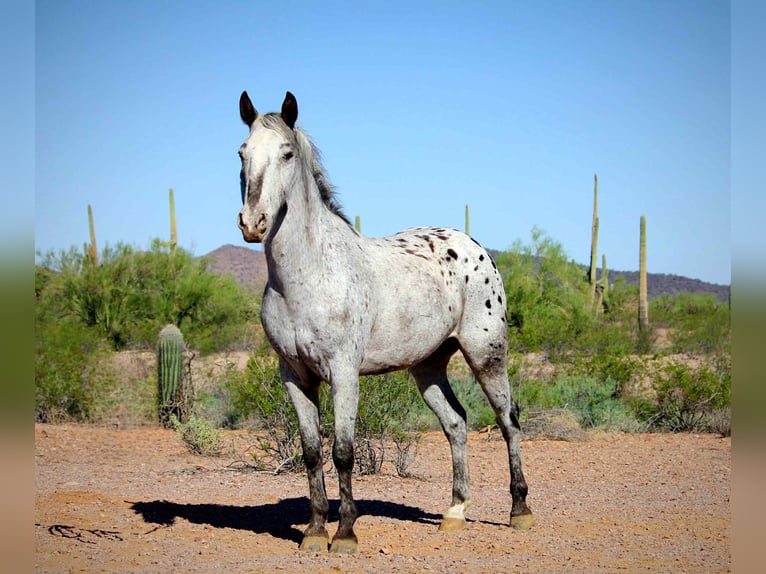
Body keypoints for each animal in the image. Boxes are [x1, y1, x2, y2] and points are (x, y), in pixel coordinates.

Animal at [236, 90, 533, 554]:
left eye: (286, 153)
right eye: (242, 153)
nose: (252, 223)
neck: (307, 275)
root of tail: (476, 246)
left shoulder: (343, 373)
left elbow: (343, 451)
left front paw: (344, 534)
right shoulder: (295, 376)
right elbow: (310, 452)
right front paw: (314, 532)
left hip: (486, 354)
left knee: (508, 420)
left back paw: (519, 510)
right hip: (428, 366)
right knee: (456, 423)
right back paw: (454, 512)